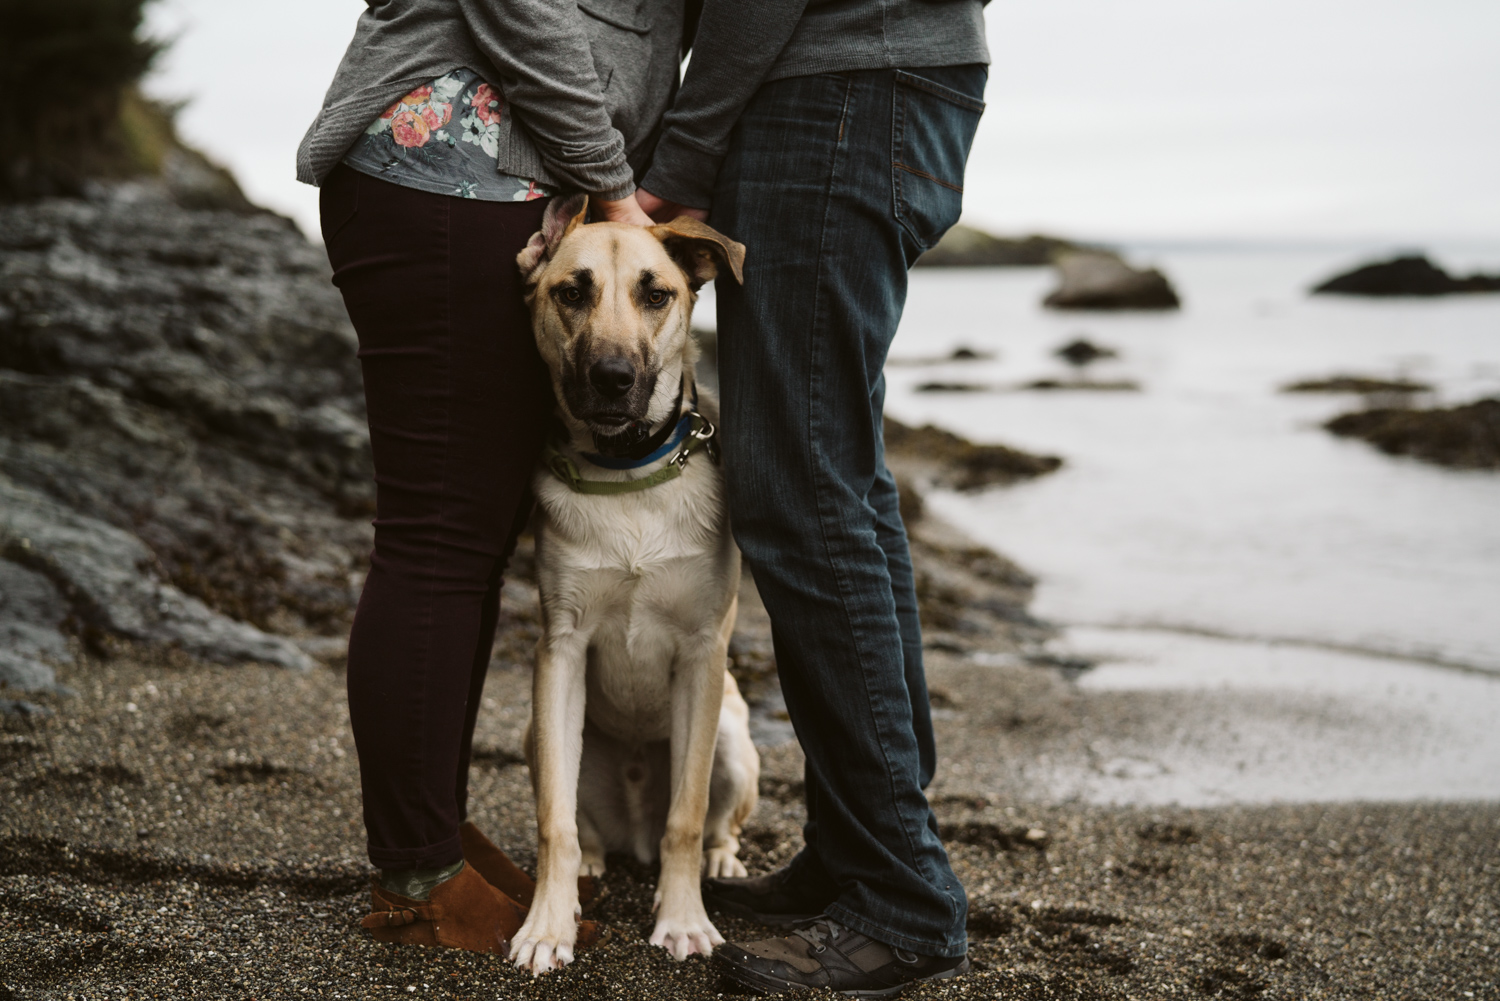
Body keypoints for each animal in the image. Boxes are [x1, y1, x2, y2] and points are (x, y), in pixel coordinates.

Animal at [510, 192, 762, 972]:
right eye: (571, 292)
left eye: (657, 294)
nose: (613, 377)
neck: (627, 474)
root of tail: (634, 836)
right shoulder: (560, 650)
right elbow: (553, 821)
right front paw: (547, 924)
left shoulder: (702, 654)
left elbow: (687, 814)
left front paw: (683, 920)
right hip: (537, 734)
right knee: (581, 822)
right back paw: (591, 868)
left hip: (735, 742)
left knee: (710, 823)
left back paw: (721, 861)